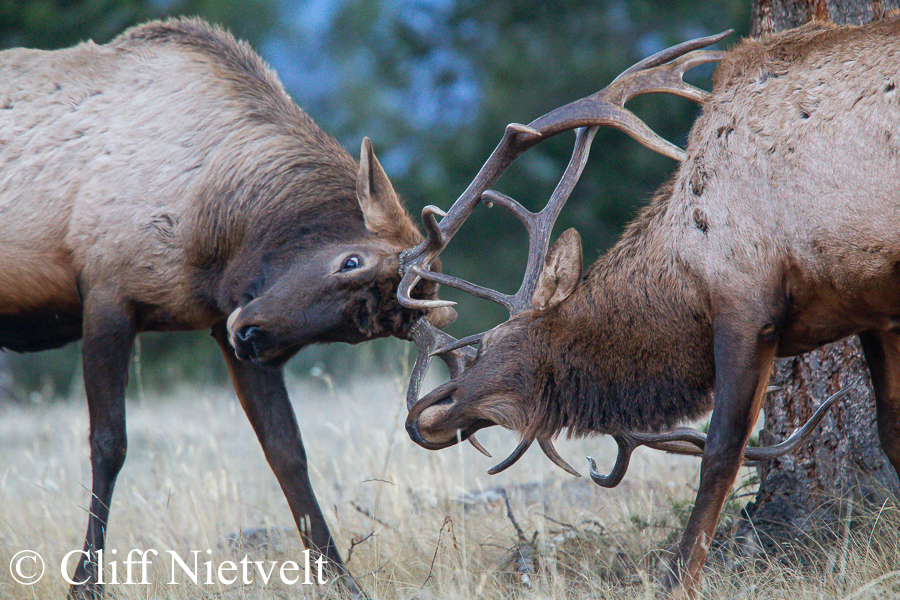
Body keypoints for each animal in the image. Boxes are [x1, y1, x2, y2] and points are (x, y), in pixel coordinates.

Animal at [0, 17, 450, 600]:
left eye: (360, 327)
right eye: (350, 260)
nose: (253, 335)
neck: (208, 229)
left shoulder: (222, 322)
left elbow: (287, 452)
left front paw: (340, 579)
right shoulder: (105, 295)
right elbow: (109, 444)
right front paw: (84, 584)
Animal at [398, 18, 900, 600]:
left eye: (490, 343)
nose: (426, 418)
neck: (682, 275)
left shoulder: (747, 304)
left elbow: (721, 454)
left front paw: (675, 581)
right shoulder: (873, 308)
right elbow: (892, 432)